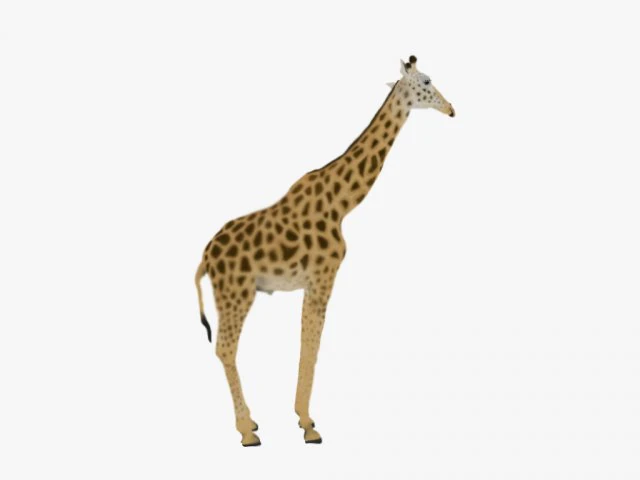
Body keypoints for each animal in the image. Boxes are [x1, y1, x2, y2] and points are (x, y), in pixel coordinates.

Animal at [195, 55, 455, 446]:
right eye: (426, 80)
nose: (451, 108)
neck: (341, 203)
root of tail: (206, 255)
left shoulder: (315, 281)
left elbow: (308, 344)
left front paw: (304, 419)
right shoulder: (322, 277)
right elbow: (311, 345)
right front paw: (308, 425)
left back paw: (251, 422)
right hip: (236, 293)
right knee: (225, 347)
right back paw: (245, 431)